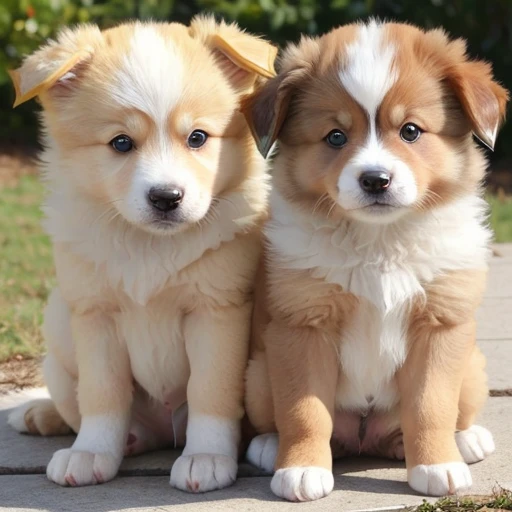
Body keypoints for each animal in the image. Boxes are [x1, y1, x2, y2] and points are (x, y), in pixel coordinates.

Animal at [6, 17, 276, 492]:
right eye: (121, 143)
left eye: (198, 137)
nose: (166, 197)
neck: (150, 246)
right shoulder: (95, 315)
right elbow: (102, 395)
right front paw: (91, 451)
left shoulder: (217, 310)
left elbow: (211, 390)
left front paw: (206, 456)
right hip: (58, 339)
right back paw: (45, 415)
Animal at [241, 22, 508, 502]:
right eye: (335, 136)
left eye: (411, 131)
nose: (375, 180)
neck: (379, 242)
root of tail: (366, 437)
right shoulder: (302, 325)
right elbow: (304, 409)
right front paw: (302, 469)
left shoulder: (440, 324)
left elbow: (431, 404)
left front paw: (437, 465)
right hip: (256, 374)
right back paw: (270, 447)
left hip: (474, 365)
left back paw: (465, 440)